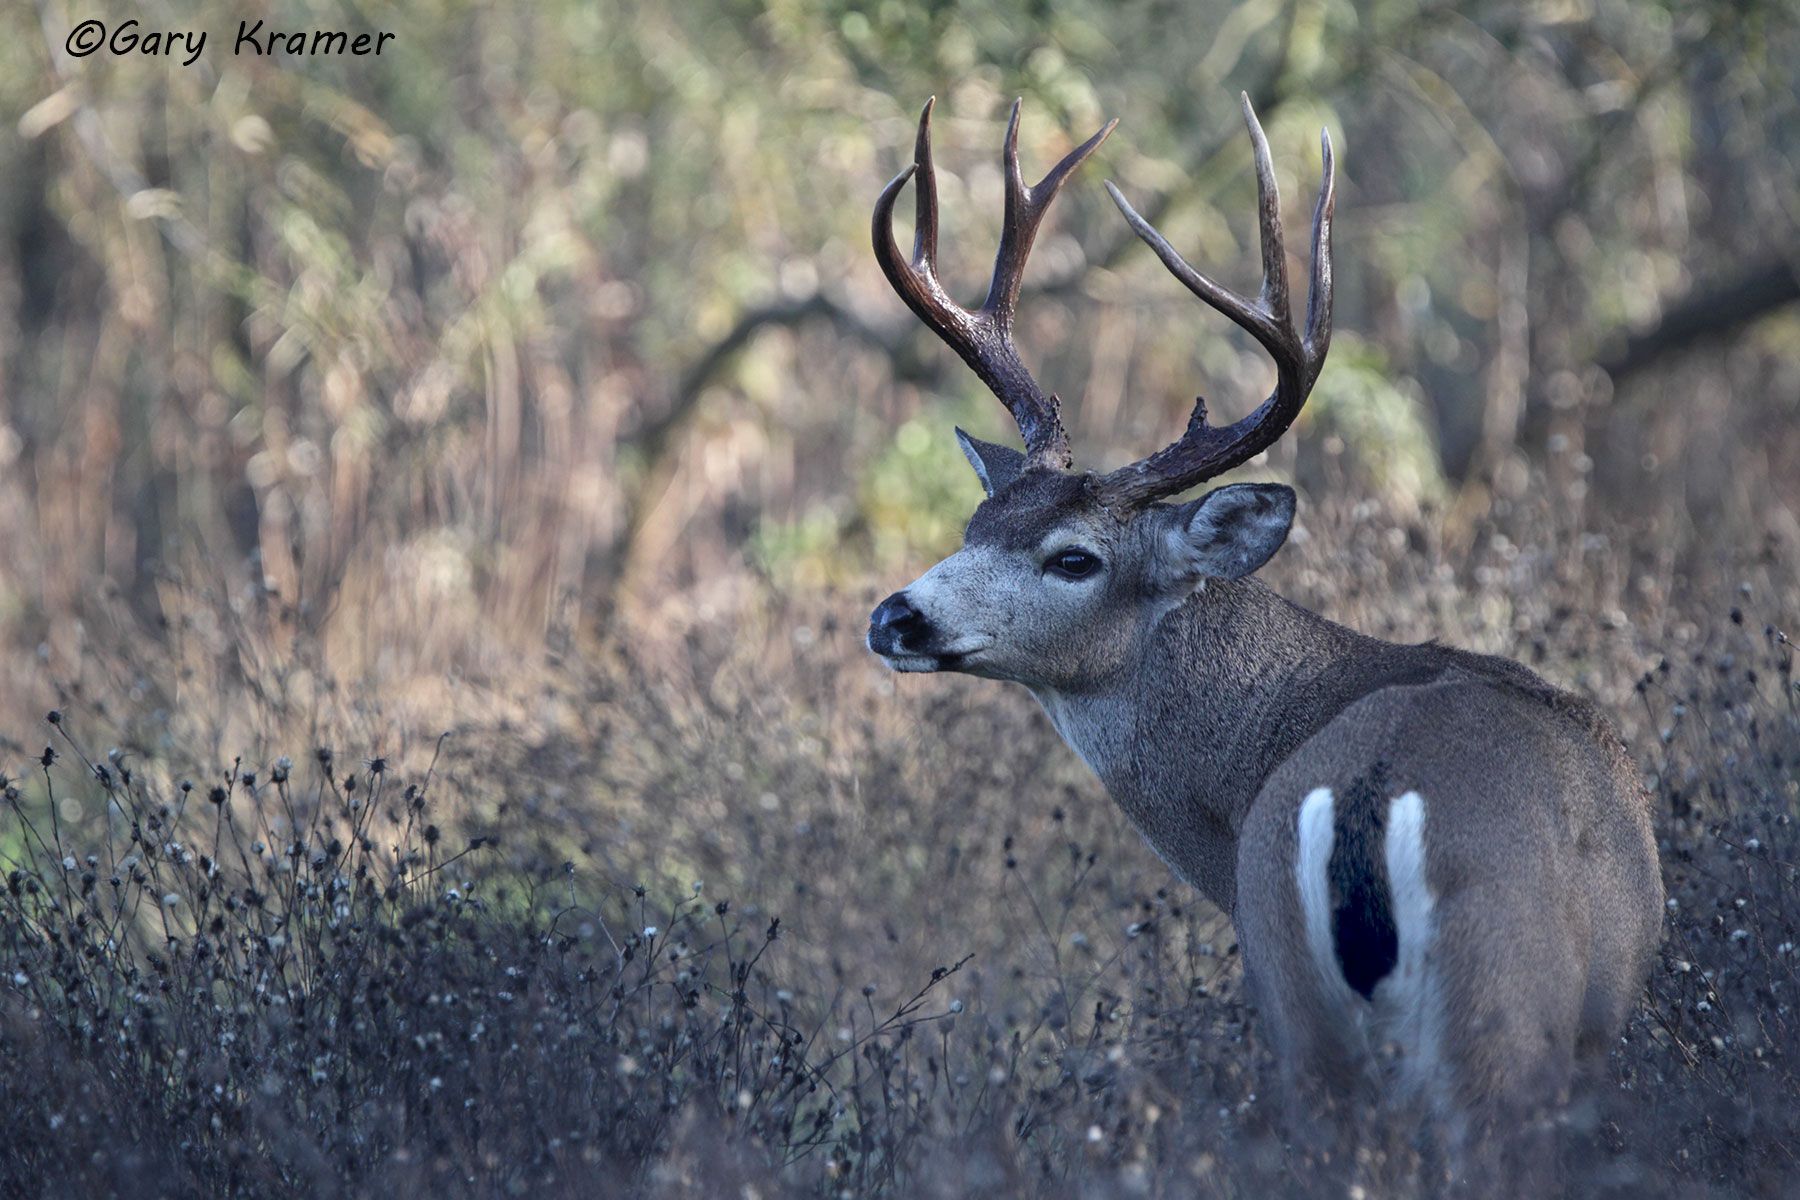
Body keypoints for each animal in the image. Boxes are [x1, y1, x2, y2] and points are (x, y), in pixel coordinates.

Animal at [863, 94, 1663, 1147]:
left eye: (1074, 557)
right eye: (974, 526)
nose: (893, 615)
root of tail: (1367, 806)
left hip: (1304, 1017)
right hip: (1508, 1009)